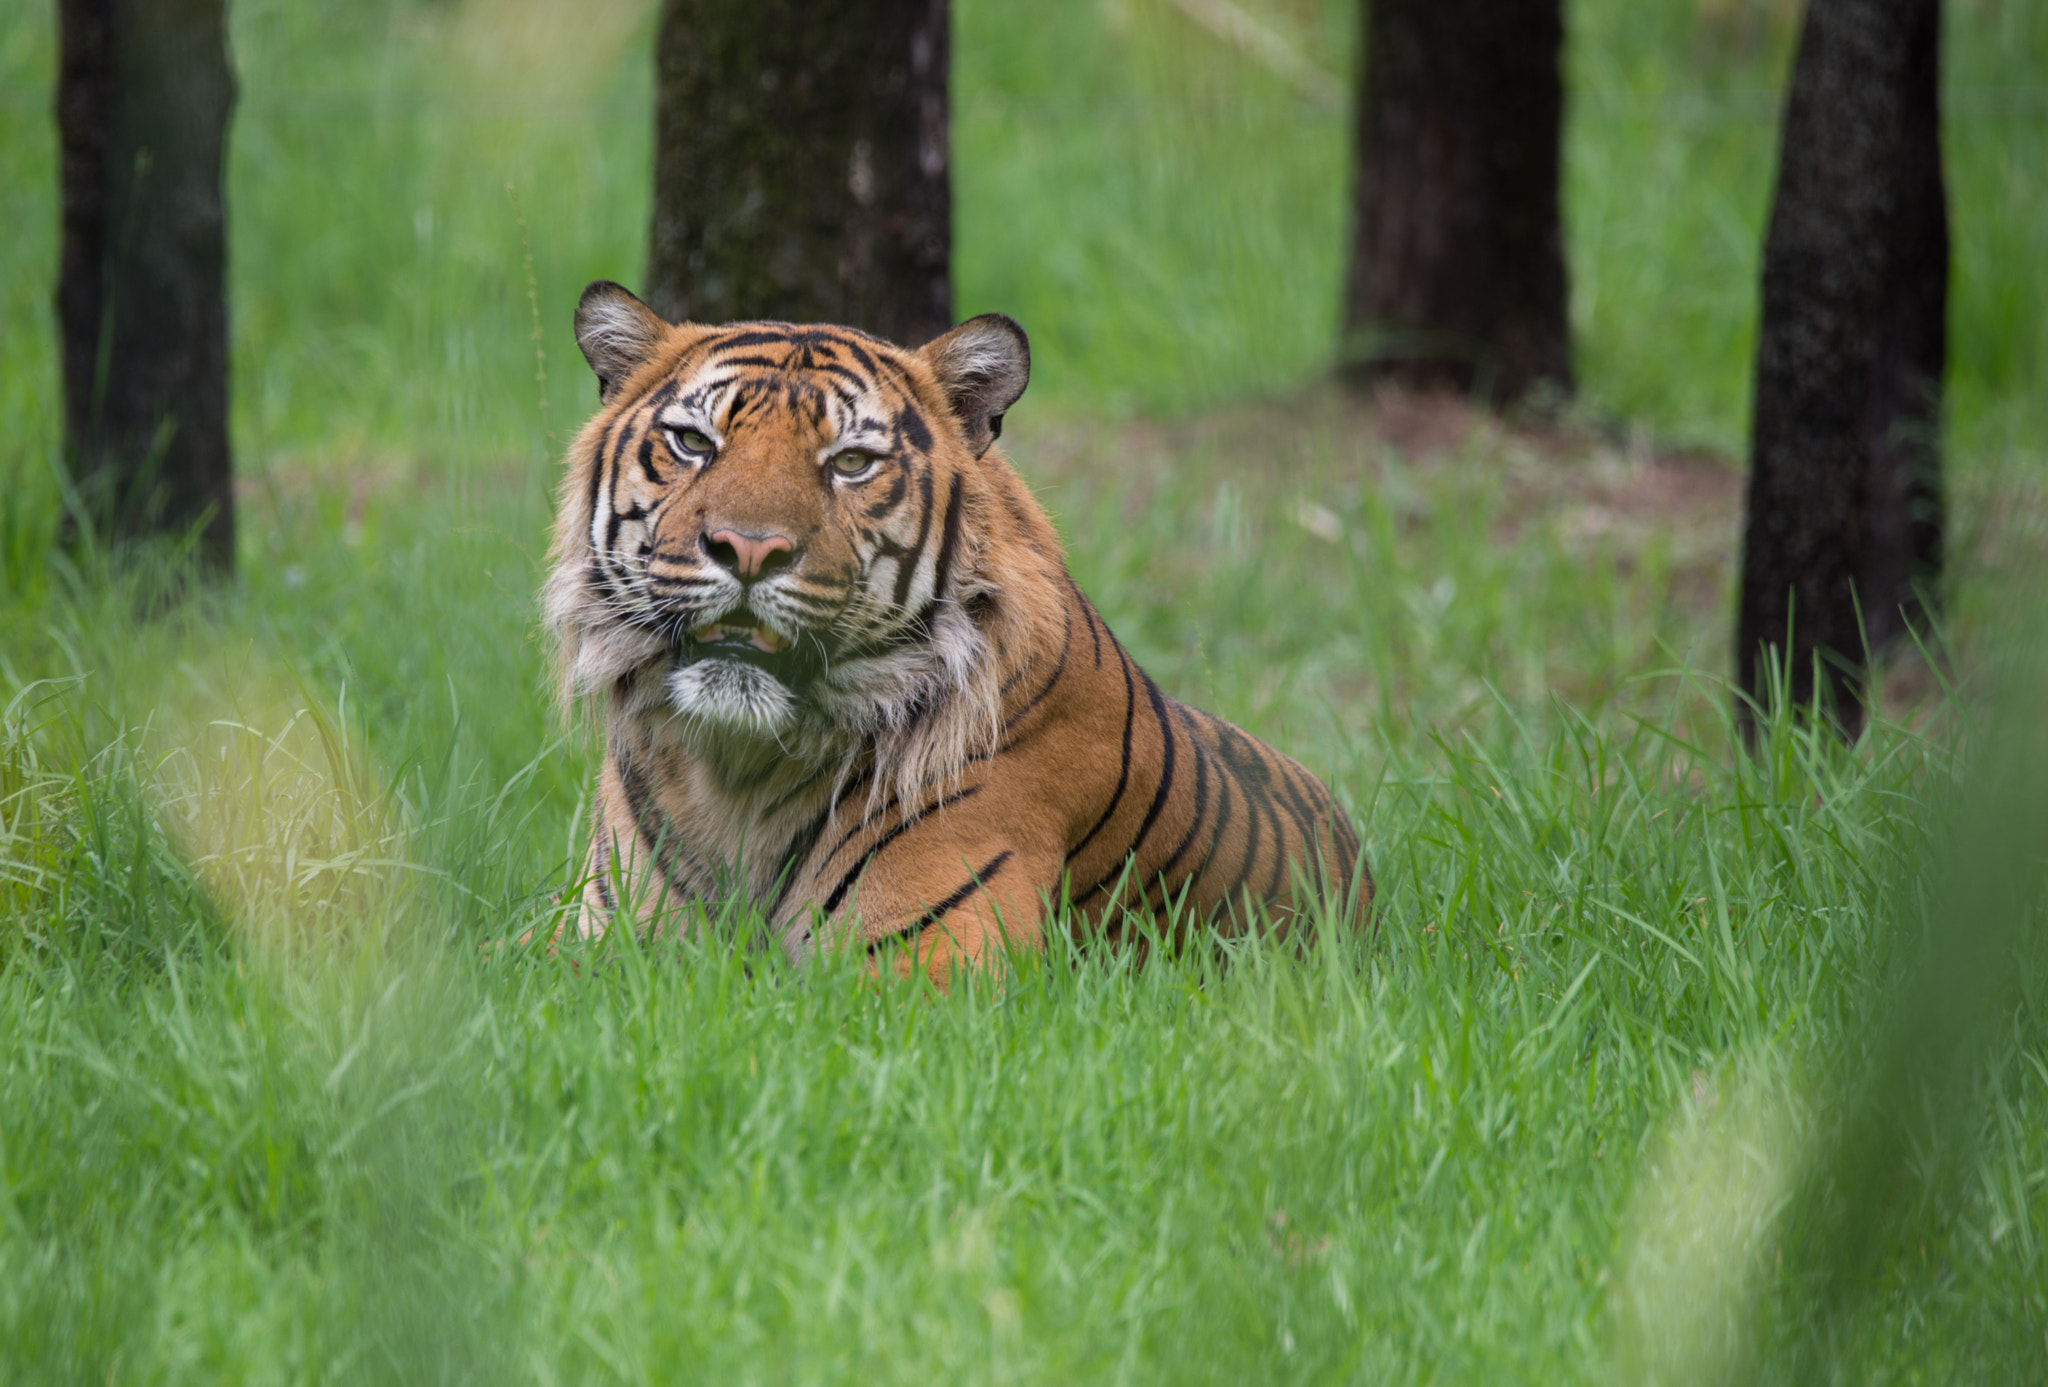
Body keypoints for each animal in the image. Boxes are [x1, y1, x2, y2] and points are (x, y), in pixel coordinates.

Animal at [544, 280, 1370, 983]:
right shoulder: (592, 935)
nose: (749, 549)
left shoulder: (937, 961)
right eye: (693, 443)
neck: (736, 771)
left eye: (851, 461)